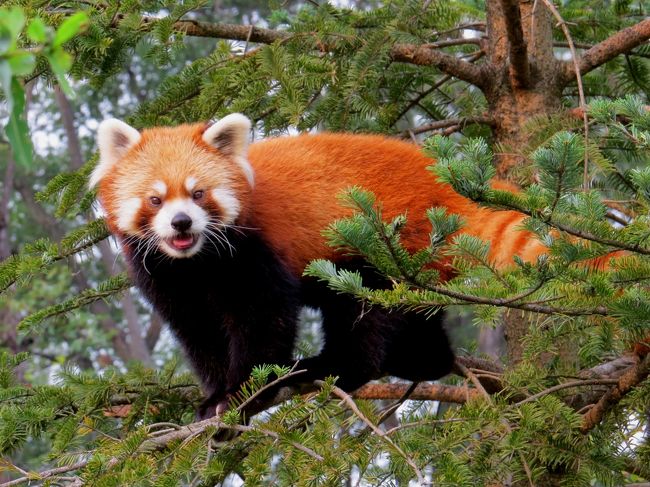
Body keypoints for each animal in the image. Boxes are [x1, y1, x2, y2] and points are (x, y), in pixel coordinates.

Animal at [91, 114, 544, 420]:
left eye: (198, 193)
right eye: (155, 200)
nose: (181, 223)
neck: (198, 262)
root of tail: (439, 179)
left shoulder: (255, 252)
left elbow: (264, 321)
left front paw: (242, 395)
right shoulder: (167, 278)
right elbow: (200, 334)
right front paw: (214, 395)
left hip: (383, 247)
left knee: (366, 315)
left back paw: (330, 367)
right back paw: (425, 360)